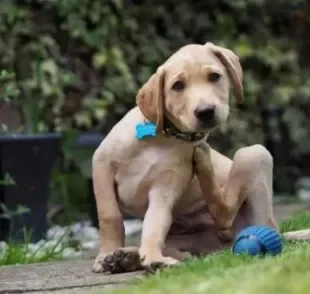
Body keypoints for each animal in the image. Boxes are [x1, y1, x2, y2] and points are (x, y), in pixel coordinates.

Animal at [91, 42, 278, 274]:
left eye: (215, 77)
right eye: (177, 86)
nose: (205, 111)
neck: (165, 137)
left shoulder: (164, 190)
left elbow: (155, 224)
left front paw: (153, 258)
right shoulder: (102, 165)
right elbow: (110, 216)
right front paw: (106, 254)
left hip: (253, 153)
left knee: (224, 214)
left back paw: (203, 159)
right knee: (186, 253)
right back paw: (126, 257)